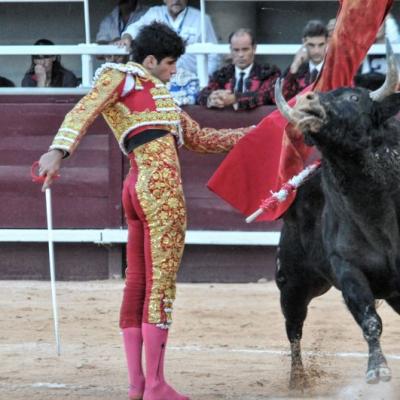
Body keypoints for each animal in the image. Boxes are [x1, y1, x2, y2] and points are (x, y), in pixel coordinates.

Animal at [276, 67, 400, 386]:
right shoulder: (347, 268)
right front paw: (377, 370)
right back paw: (298, 380)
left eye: (355, 97)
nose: (308, 101)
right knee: (293, 327)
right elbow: (369, 319)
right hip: (293, 282)